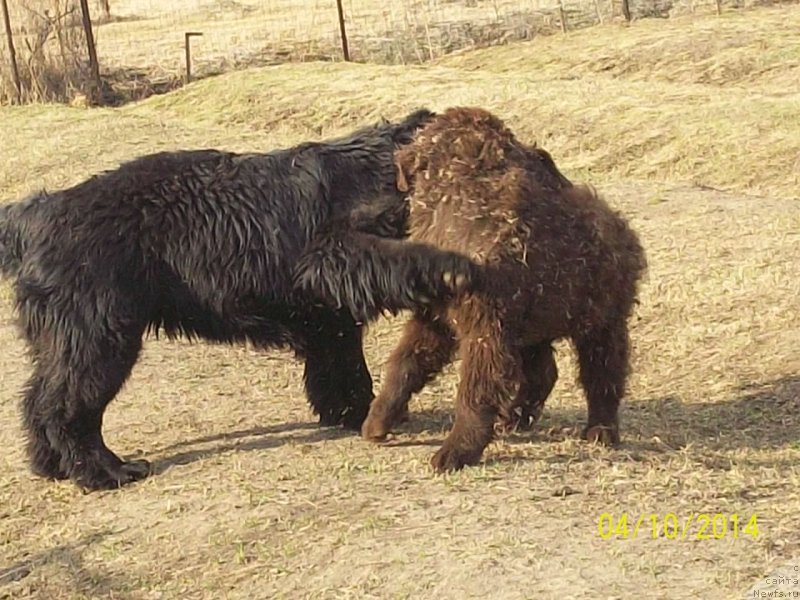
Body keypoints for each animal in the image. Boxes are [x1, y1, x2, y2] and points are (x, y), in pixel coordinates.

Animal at [0, 110, 482, 490]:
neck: (373, 174)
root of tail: (36, 215)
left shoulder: (331, 321)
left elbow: (342, 369)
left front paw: (356, 413)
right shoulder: (333, 255)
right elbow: (395, 259)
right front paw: (450, 265)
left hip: (65, 340)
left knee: (38, 399)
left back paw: (51, 465)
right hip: (99, 339)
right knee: (66, 408)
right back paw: (104, 472)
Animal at [360, 109, 648, 474]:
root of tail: (621, 227)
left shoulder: (484, 324)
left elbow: (474, 388)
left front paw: (456, 450)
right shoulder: (438, 314)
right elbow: (408, 360)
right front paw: (378, 420)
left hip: (601, 319)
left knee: (603, 370)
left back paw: (601, 429)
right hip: (535, 325)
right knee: (543, 371)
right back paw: (516, 416)